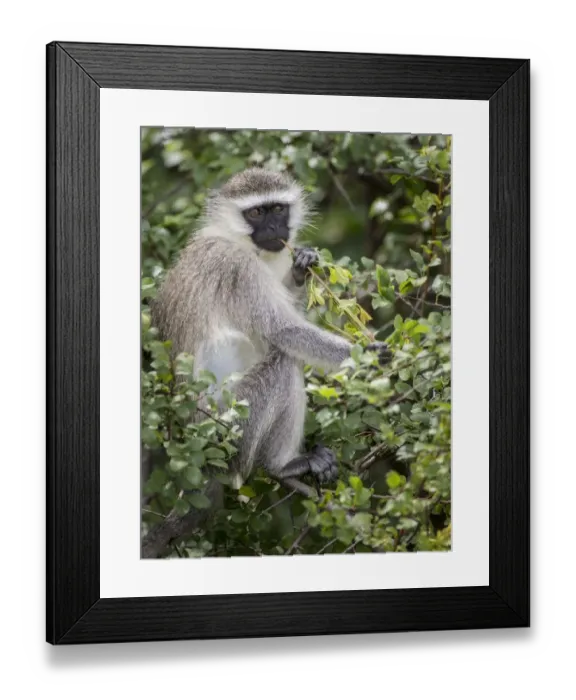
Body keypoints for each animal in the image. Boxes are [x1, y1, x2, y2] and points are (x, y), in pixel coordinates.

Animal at [143, 168, 390, 556]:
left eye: (277, 209)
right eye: (256, 213)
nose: (275, 229)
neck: (236, 240)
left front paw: (302, 268)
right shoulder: (238, 268)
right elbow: (283, 330)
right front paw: (370, 356)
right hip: (233, 430)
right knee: (284, 364)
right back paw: (282, 466)